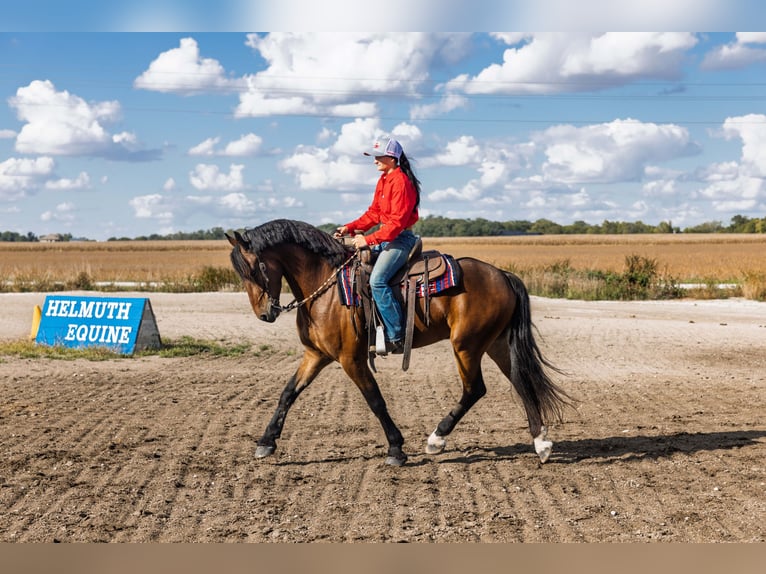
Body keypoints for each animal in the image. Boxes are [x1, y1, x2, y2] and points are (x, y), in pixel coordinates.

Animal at [227, 219, 572, 466]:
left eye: (255, 268)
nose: (264, 314)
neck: (326, 288)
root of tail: (501, 274)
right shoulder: (316, 354)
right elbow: (288, 393)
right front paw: (266, 442)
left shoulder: (351, 359)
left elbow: (375, 400)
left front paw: (396, 448)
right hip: (495, 343)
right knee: (519, 381)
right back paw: (541, 443)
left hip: (466, 345)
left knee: (475, 389)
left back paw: (436, 439)